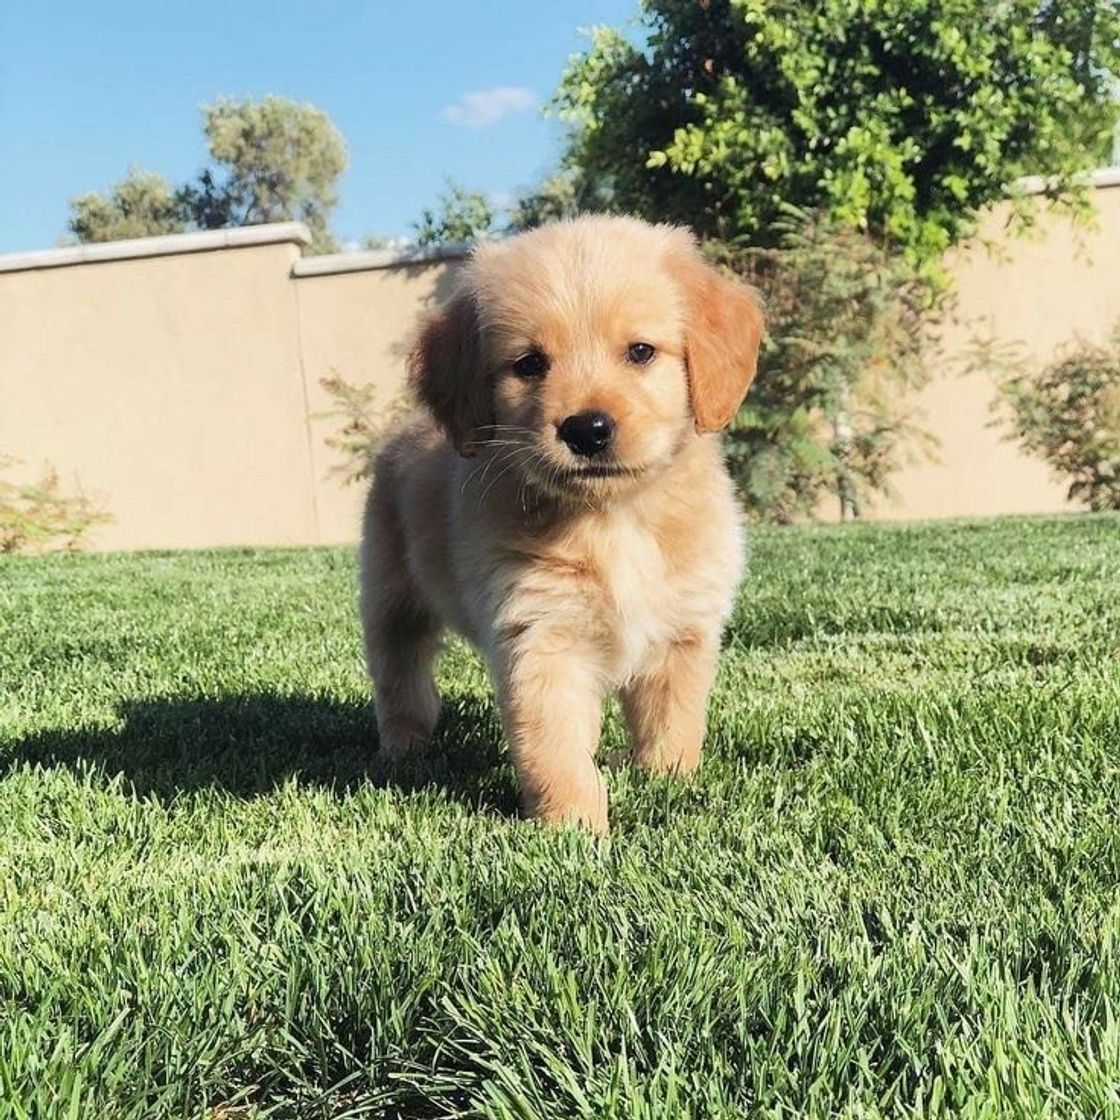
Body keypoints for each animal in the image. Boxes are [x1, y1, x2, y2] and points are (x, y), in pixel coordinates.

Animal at [358, 216, 761, 833]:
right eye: (529, 363)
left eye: (641, 352)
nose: (587, 429)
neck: (614, 519)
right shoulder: (542, 638)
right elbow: (555, 747)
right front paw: (571, 828)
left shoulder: (682, 633)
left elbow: (673, 723)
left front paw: (668, 782)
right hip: (391, 599)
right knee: (400, 674)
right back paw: (404, 746)